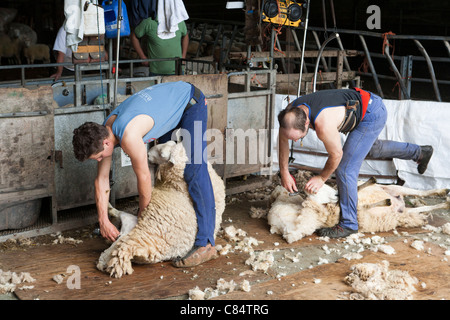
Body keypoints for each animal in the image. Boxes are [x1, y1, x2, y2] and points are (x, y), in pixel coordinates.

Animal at [268, 172, 448, 242]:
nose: (337, 195)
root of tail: (401, 205)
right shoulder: (358, 211)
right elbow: (364, 203)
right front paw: (382, 200)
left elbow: (358, 191)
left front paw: (369, 182)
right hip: (401, 213)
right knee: (421, 208)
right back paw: (446, 201)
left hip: (395, 189)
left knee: (421, 193)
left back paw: (442, 192)